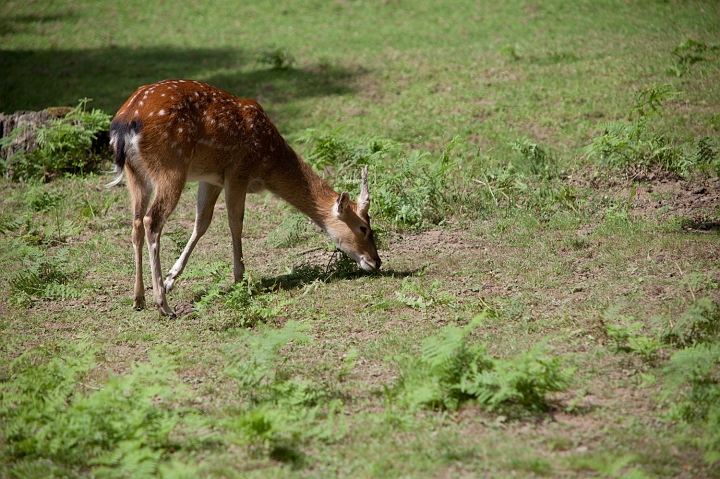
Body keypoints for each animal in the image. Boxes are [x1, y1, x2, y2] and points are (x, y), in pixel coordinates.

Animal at [108, 79, 381, 316]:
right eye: (364, 227)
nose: (376, 262)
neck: (268, 163)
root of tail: (124, 123)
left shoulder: (211, 178)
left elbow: (201, 223)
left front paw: (170, 279)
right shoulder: (239, 171)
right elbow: (235, 222)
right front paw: (240, 278)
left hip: (136, 173)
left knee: (135, 223)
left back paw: (139, 298)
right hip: (171, 166)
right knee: (151, 221)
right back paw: (163, 305)